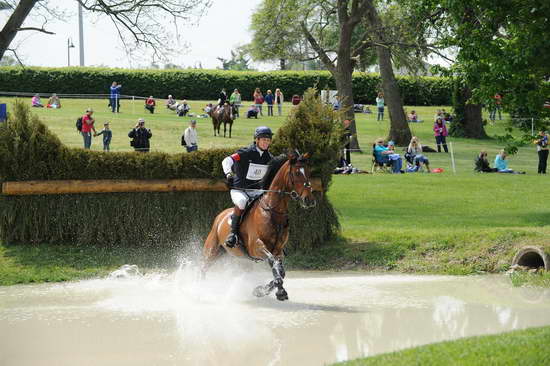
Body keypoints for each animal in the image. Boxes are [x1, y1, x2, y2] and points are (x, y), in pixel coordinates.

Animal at [203, 153, 316, 302]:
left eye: (308, 172)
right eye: (296, 173)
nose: (310, 200)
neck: (272, 211)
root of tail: (220, 217)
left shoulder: (278, 250)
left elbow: (281, 271)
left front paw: (261, 290)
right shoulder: (256, 247)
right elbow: (273, 263)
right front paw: (280, 291)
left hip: (237, 258)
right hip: (212, 251)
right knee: (202, 269)